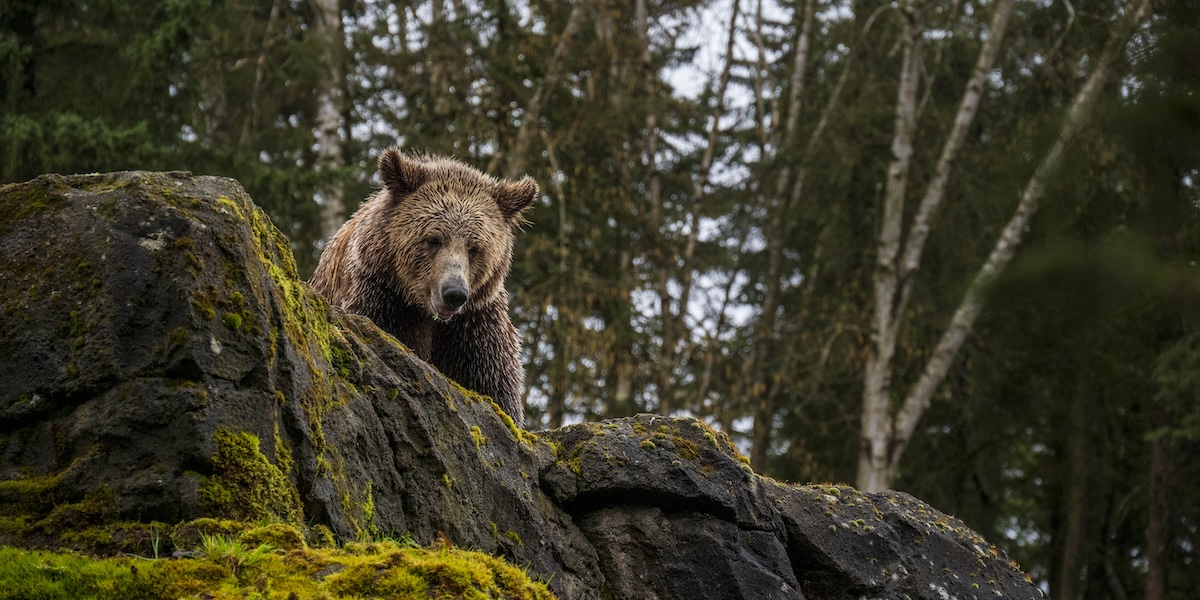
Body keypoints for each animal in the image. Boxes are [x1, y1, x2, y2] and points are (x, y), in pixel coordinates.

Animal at [309, 146, 540, 427]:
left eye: (475, 248)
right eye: (433, 239)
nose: (454, 293)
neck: (426, 312)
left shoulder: (475, 325)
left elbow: (493, 386)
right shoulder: (384, 301)